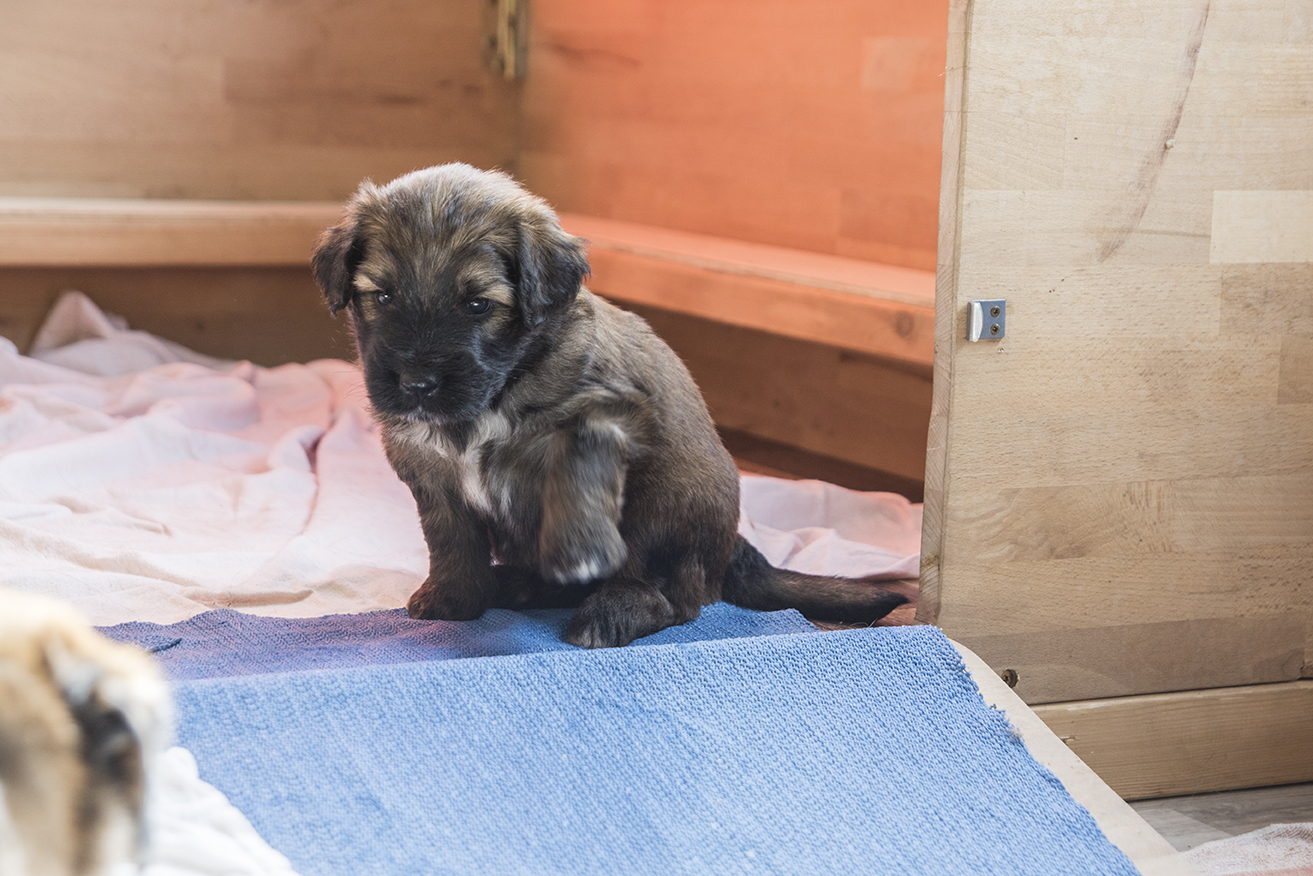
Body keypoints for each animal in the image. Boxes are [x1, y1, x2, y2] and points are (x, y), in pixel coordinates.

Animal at [312, 163, 908, 648]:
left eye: (478, 304)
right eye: (382, 295)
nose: (416, 383)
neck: (503, 387)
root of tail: (734, 550)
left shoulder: (605, 417)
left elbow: (577, 485)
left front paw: (574, 555)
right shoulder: (427, 466)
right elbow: (451, 537)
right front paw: (455, 596)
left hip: (667, 501)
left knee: (672, 594)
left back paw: (611, 610)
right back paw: (516, 584)